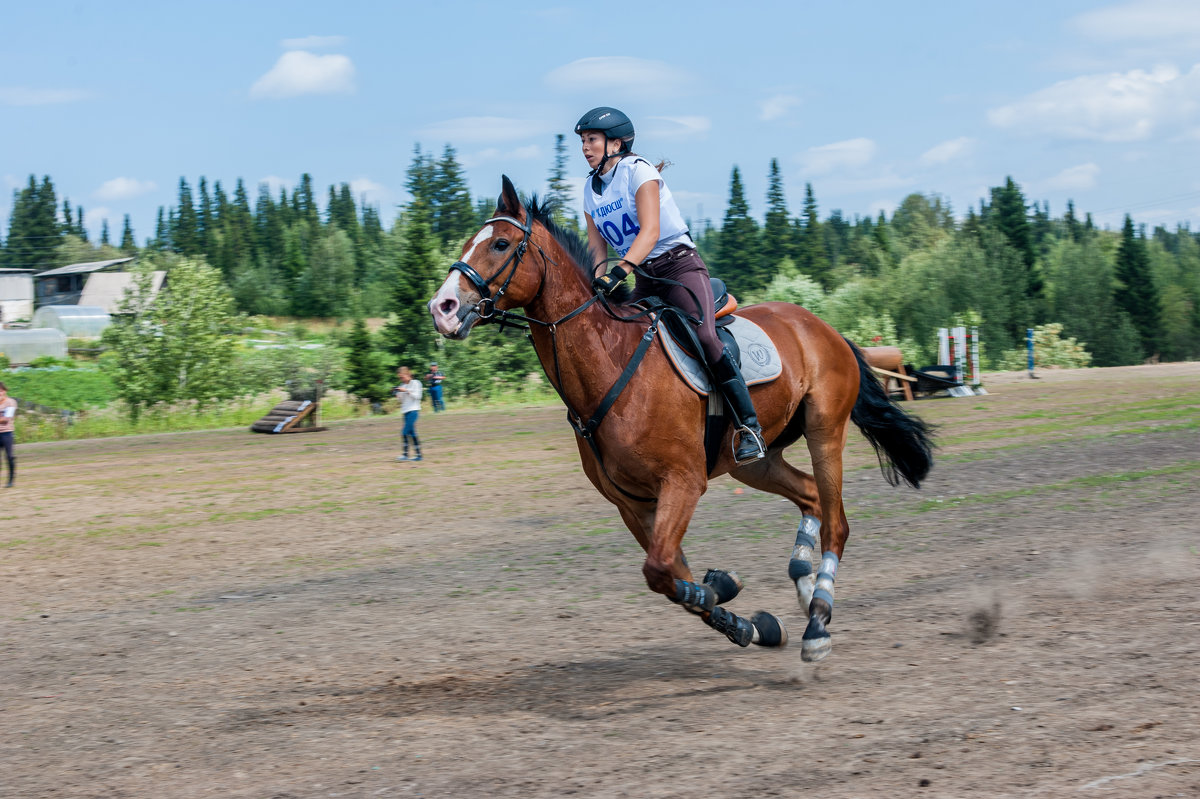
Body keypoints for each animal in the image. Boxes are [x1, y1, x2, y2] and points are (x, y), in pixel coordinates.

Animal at [432, 178, 936, 657]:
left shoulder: (682, 482)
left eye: (500, 244)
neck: (610, 362)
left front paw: (721, 593)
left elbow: (660, 570)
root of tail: (823, 327)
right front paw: (742, 616)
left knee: (836, 524)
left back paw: (817, 621)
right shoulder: (632, 503)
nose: (443, 308)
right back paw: (803, 583)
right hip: (753, 462)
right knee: (810, 496)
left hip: (823, 430)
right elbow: (671, 573)